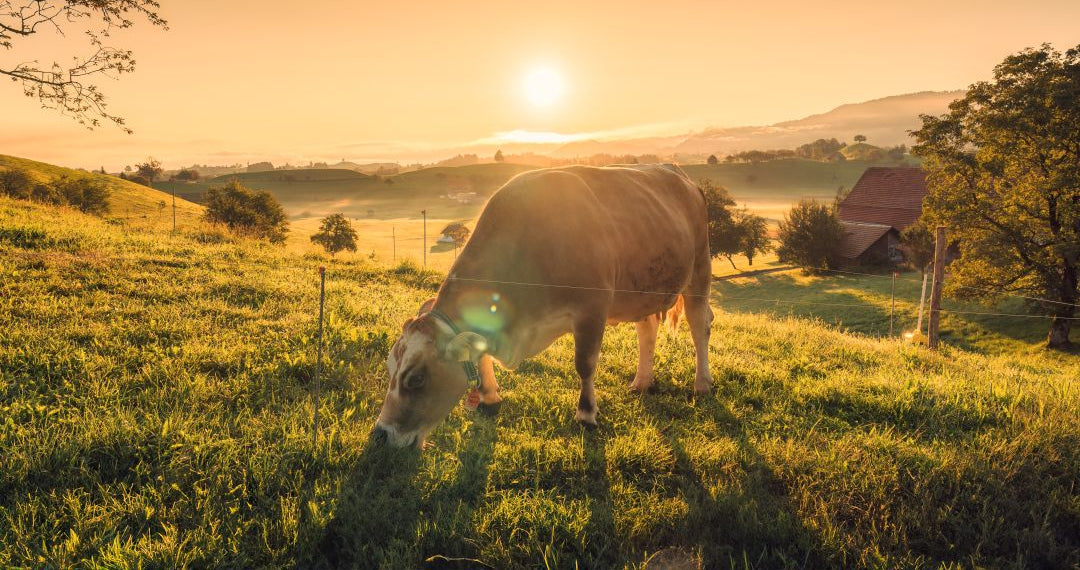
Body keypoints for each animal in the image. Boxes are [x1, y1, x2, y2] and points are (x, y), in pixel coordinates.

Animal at [374, 164, 713, 448]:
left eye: (416, 378)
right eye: (390, 367)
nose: (380, 434)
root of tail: (681, 176)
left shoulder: (592, 307)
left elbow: (585, 363)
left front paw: (586, 413)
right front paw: (489, 397)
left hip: (699, 266)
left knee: (700, 325)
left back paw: (702, 383)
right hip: (644, 288)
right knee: (648, 328)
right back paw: (642, 381)